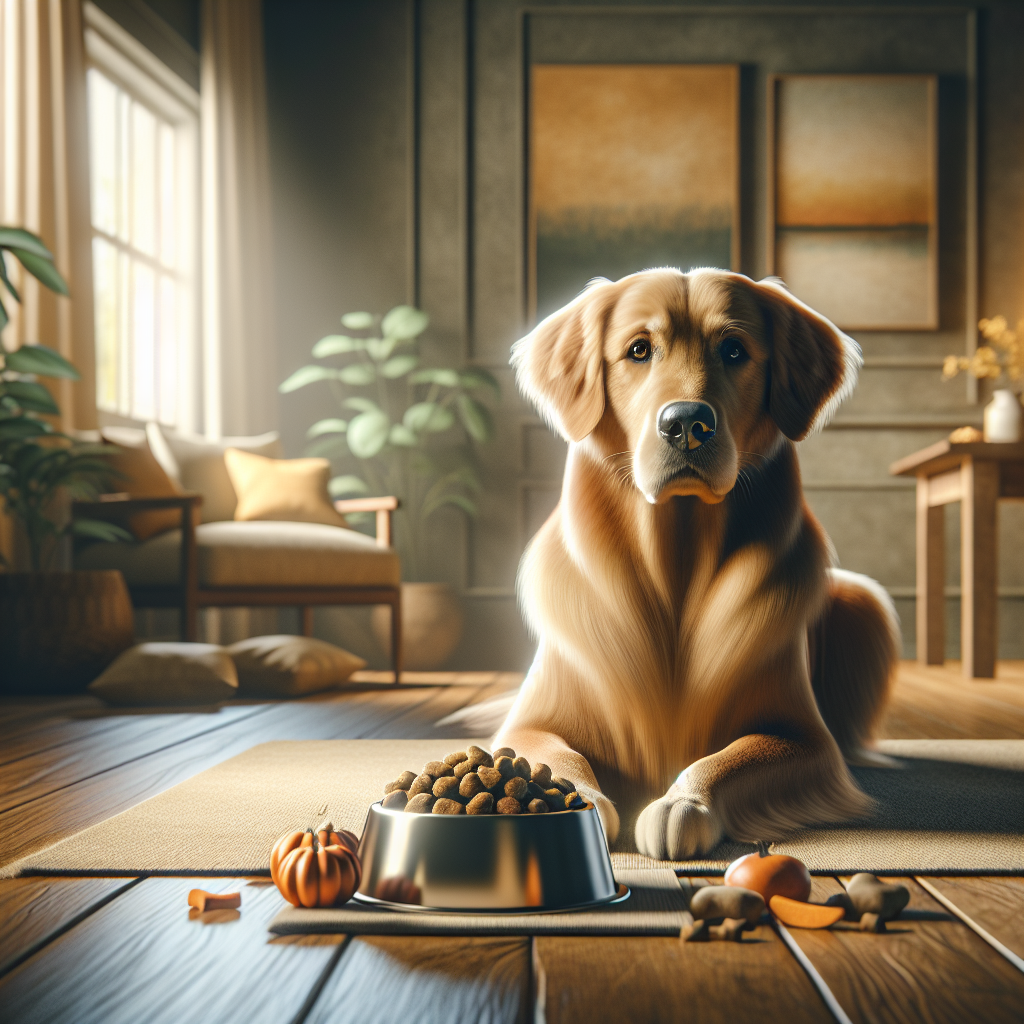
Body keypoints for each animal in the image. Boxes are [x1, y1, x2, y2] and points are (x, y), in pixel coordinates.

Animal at [491, 266, 901, 856]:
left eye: (734, 350)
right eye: (639, 350)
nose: (686, 423)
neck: (676, 562)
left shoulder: (805, 739)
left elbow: (731, 757)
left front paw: (684, 801)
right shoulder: (526, 725)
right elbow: (557, 756)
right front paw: (577, 799)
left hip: (864, 603)